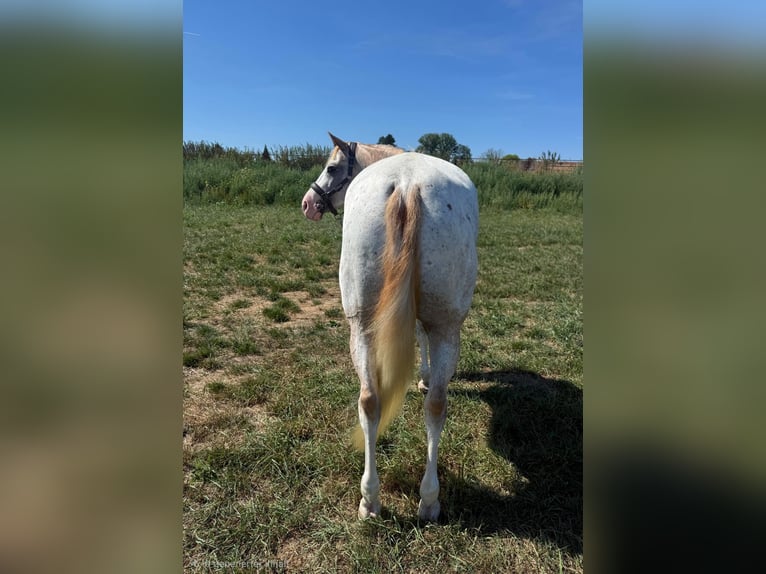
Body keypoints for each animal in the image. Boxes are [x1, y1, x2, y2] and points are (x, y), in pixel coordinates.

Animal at [301, 133, 478, 521]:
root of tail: (408, 183)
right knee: (432, 405)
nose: (308, 204)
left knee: (373, 401)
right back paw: (423, 501)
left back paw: (377, 500)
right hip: (444, 327)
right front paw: (424, 377)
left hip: (366, 326)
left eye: (331, 168)